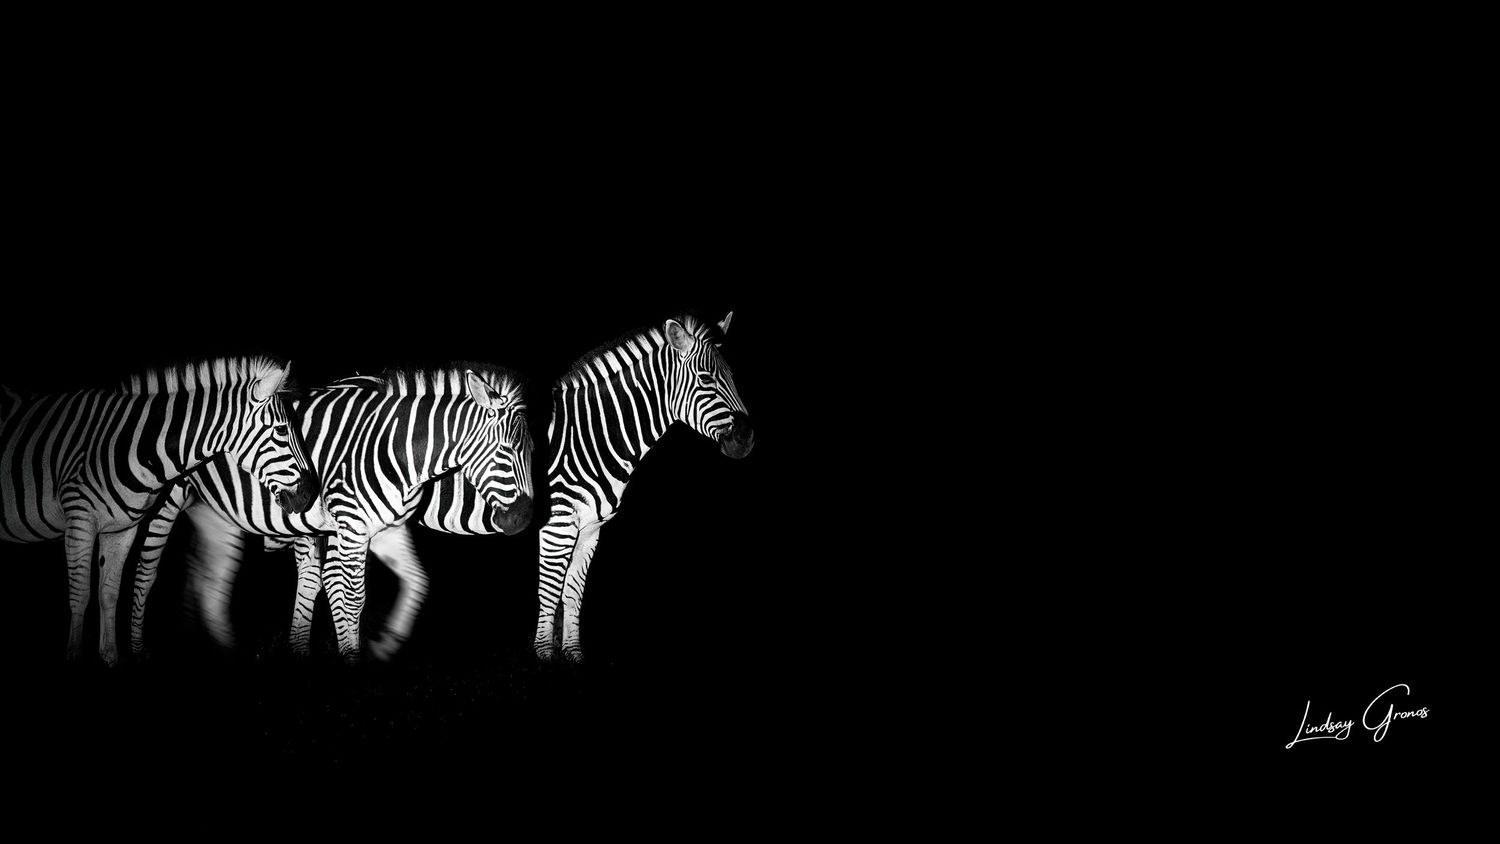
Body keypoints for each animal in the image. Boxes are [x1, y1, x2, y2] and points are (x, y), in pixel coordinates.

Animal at [0, 356, 315, 664]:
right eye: (282, 430)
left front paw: (110, 658)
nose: (309, 495)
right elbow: (80, 594)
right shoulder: (79, 516)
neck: (133, 446)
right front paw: (75, 658)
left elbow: (109, 591)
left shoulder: (122, 528)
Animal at [119, 365, 533, 662]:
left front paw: (381, 647)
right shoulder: (347, 524)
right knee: (145, 570)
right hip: (163, 497)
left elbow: (414, 582)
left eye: (531, 453)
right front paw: (350, 656)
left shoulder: (384, 528)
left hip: (214, 512)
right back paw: (138, 649)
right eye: (507, 452)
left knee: (211, 576)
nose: (527, 519)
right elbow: (344, 590)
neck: (398, 455)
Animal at [534, 312, 754, 663]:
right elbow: (550, 590)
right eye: (706, 378)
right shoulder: (557, 525)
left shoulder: (591, 529)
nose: (746, 440)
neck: (589, 436)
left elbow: (572, 593)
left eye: (733, 376)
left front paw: (572, 655)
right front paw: (543, 657)